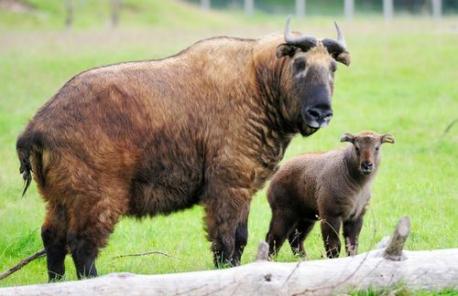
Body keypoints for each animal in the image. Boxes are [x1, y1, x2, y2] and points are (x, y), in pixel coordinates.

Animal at [266, 132, 396, 260]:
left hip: (306, 217)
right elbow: (334, 246)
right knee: (274, 237)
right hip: (284, 213)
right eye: (357, 147)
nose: (367, 165)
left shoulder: (355, 217)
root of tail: (275, 175)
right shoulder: (331, 215)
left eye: (377, 147)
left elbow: (352, 245)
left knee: (295, 238)